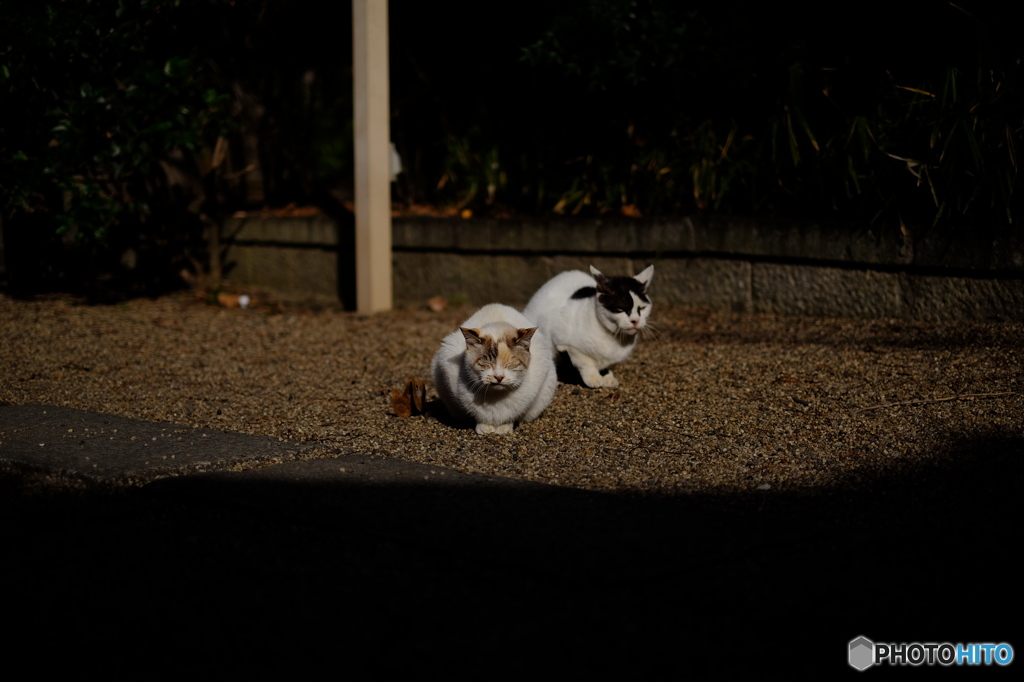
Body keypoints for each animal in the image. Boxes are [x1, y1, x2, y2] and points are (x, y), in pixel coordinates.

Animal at [432, 303, 561, 432]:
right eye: (486, 362)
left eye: (511, 363)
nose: (499, 377)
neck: (496, 398)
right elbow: (477, 414)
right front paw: (483, 427)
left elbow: (513, 414)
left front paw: (505, 427)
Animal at [520, 262, 655, 385]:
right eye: (620, 309)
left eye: (642, 308)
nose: (635, 320)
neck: (613, 338)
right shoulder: (565, 342)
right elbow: (584, 362)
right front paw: (593, 378)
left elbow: (605, 365)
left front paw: (607, 376)